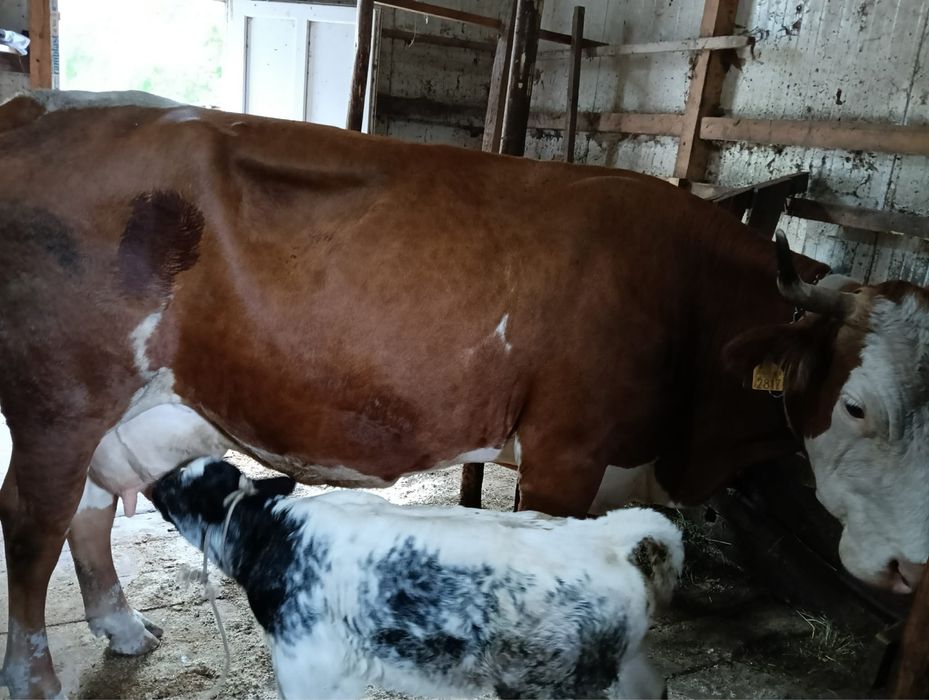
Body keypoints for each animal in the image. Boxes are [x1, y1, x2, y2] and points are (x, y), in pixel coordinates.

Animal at [150, 457, 682, 699]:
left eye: (179, 485)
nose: (153, 482)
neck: (272, 531)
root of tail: (606, 533)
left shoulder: (306, 663)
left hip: (559, 685)